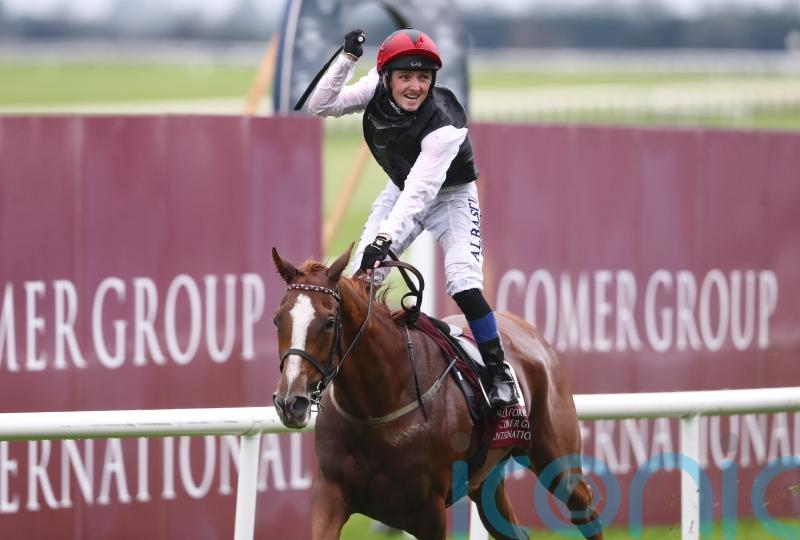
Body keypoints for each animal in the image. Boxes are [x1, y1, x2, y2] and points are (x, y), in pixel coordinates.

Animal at [270, 245, 604, 540]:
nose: (290, 401)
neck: (378, 406)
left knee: (587, 511)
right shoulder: (329, 497)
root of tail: (526, 327)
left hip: (557, 460)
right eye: (278, 319)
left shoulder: (428, 512)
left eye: (329, 322)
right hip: (486, 480)